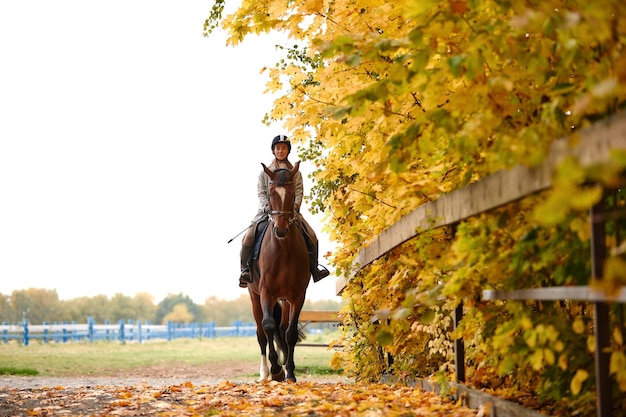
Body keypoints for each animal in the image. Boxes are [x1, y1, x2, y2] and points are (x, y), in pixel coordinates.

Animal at [246, 161, 310, 382]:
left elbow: (289, 333)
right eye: (271, 193)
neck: (283, 251)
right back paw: (265, 373)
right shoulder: (266, 292)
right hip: (255, 296)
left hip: (285, 299)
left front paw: (289, 372)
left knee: (281, 330)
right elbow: (267, 326)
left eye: (291, 194)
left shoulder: (298, 295)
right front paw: (276, 370)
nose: (280, 230)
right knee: (261, 334)